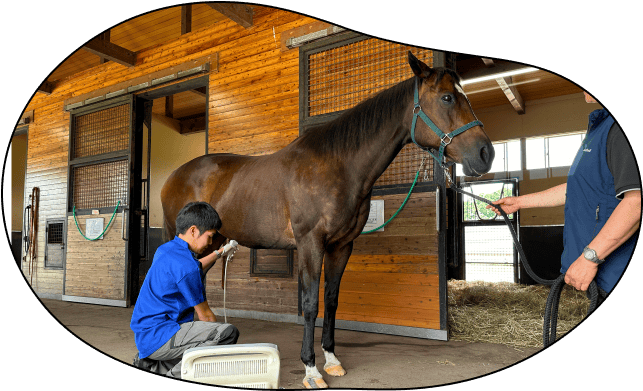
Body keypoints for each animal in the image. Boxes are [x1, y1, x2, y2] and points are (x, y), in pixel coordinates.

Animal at [160, 52, 494, 388]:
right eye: (447, 97)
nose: (485, 154)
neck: (337, 165)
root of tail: (173, 175)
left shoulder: (341, 246)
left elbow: (331, 300)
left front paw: (331, 360)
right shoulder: (311, 243)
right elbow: (310, 304)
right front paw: (311, 369)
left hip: (210, 242)